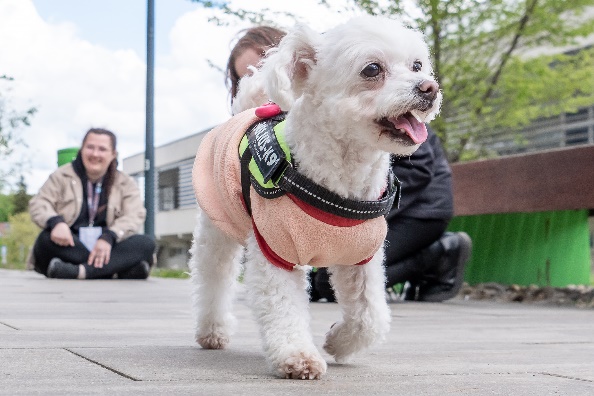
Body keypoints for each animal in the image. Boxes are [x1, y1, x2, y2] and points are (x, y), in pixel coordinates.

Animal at [188, 16, 440, 380]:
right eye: (372, 69)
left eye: (417, 65)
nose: (429, 88)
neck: (342, 177)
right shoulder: (275, 249)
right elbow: (283, 307)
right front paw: (298, 356)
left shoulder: (361, 258)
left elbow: (371, 317)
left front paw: (339, 342)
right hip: (216, 227)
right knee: (213, 279)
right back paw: (212, 331)